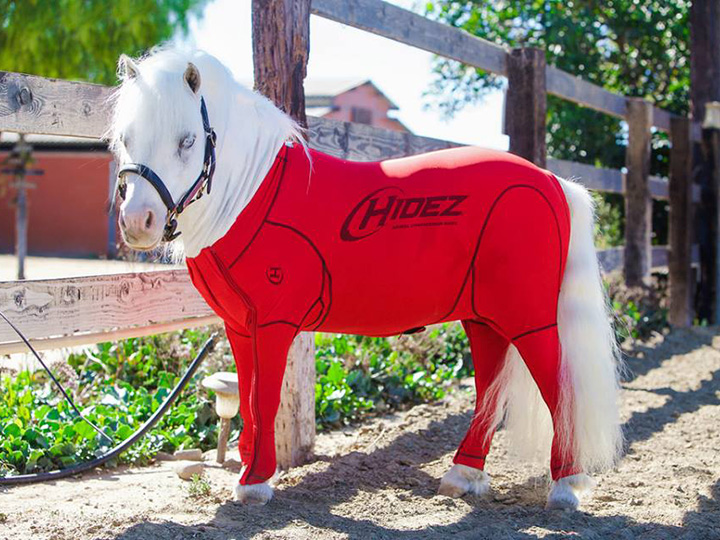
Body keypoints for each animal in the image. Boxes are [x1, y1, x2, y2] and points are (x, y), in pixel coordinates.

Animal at [110, 48, 622, 510]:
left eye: (187, 141)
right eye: (128, 138)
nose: (138, 222)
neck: (252, 195)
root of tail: (553, 182)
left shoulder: (274, 325)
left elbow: (264, 400)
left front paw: (254, 484)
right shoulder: (240, 326)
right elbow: (251, 401)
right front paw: (250, 472)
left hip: (529, 318)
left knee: (559, 387)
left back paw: (565, 487)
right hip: (483, 317)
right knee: (490, 387)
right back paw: (463, 475)